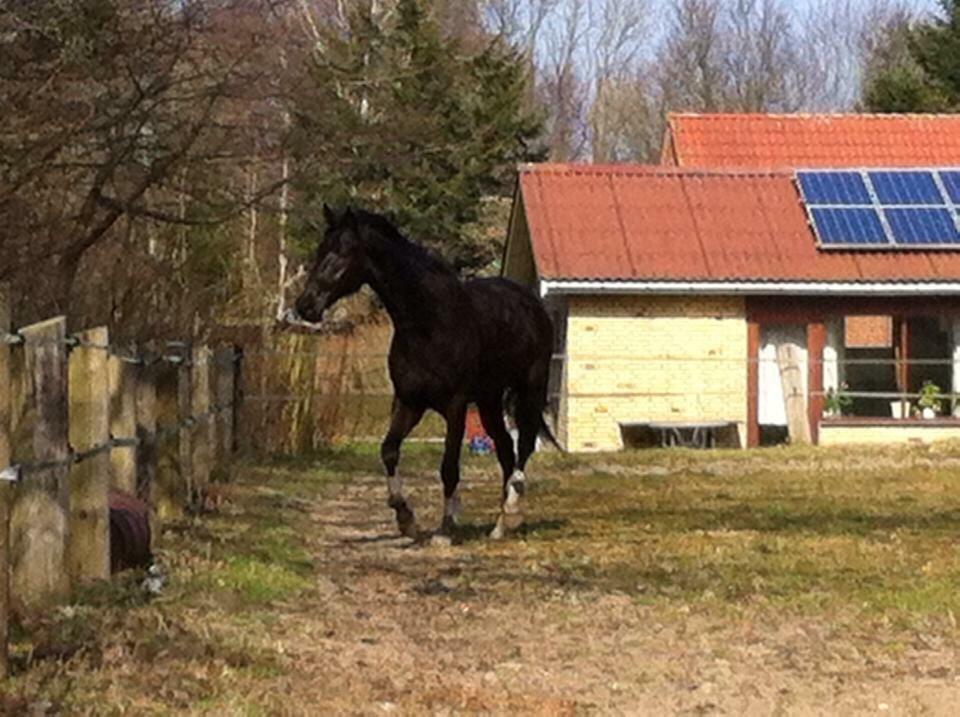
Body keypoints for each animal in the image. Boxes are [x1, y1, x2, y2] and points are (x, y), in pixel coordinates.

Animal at [290, 204, 556, 540]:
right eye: (320, 249)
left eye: (343, 251)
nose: (305, 305)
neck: (427, 324)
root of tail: (531, 303)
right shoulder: (409, 402)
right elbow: (389, 450)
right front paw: (405, 517)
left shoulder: (455, 406)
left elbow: (449, 467)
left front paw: (445, 528)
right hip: (489, 400)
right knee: (506, 449)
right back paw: (500, 525)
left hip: (529, 389)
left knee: (523, 447)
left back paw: (511, 510)